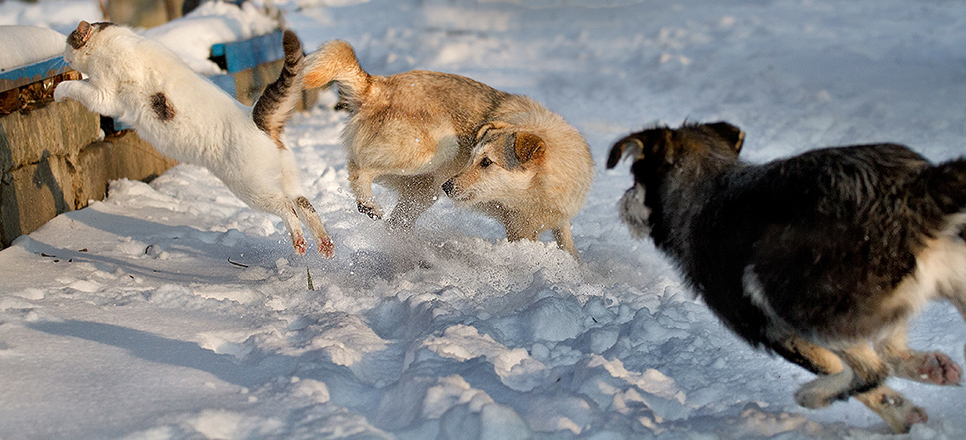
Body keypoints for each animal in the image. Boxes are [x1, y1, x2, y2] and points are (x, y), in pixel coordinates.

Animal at [57, 21, 336, 258]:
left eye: (69, 41)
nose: (62, 55)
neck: (109, 40)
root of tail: (256, 118)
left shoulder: (104, 95)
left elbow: (76, 89)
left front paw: (58, 92)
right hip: (287, 177)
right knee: (305, 205)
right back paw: (325, 245)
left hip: (252, 188)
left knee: (288, 208)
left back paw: (300, 243)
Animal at [302, 40, 592, 258]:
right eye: (473, 158)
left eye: (486, 162)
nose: (448, 186)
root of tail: (378, 85)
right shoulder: (519, 230)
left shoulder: (558, 222)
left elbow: (570, 251)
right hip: (436, 150)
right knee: (358, 166)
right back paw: (368, 203)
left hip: (424, 191)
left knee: (395, 226)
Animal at [608, 122, 966, 434]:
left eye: (635, 179)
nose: (621, 202)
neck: (705, 185)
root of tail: (908, 193)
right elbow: (889, 355)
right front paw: (912, 397)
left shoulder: (775, 330)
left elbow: (862, 374)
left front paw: (899, 411)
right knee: (885, 359)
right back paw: (931, 367)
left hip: (787, 294)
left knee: (872, 370)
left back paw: (813, 393)